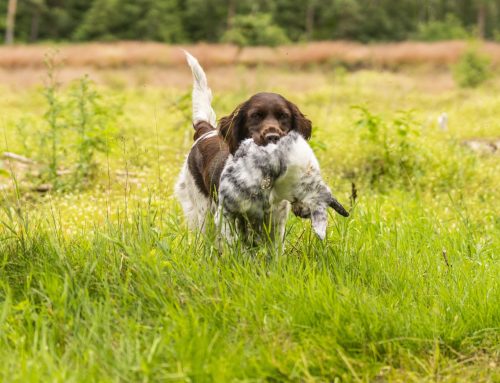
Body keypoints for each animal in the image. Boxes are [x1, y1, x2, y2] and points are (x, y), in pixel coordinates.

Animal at [174, 53, 318, 240]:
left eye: (283, 116)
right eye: (255, 116)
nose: (272, 137)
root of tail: (207, 131)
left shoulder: (276, 219)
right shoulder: (226, 215)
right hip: (202, 208)